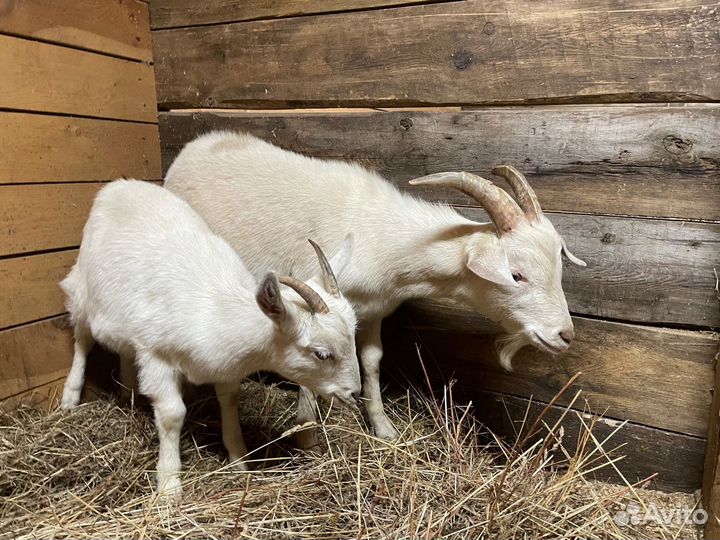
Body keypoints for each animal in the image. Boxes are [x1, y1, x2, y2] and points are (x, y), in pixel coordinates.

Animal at [60, 179, 361, 500]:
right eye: (321, 353)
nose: (354, 393)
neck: (215, 310)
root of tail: (118, 185)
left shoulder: (225, 370)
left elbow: (229, 404)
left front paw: (239, 463)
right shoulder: (156, 356)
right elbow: (172, 414)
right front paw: (169, 488)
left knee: (125, 352)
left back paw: (129, 394)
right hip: (82, 293)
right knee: (82, 341)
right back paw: (70, 398)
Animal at [164, 131, 586, 444]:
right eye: (517, 274)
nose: (564, 335)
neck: (384, 237)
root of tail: (192, 147)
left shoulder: (372, 311)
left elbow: (371, 361)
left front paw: (383, 428)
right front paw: (307, 431)